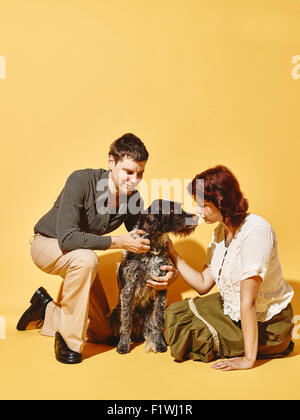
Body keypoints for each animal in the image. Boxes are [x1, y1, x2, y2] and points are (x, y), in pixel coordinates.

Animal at [110, 200, 199, 354]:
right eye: (172, 210)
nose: (196, 217)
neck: (152, 249)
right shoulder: (128, 289)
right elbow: (126, 321)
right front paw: (123, 344)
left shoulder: (162, 285)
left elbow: (157, 320)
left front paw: (159, 344)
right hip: (115, 312)